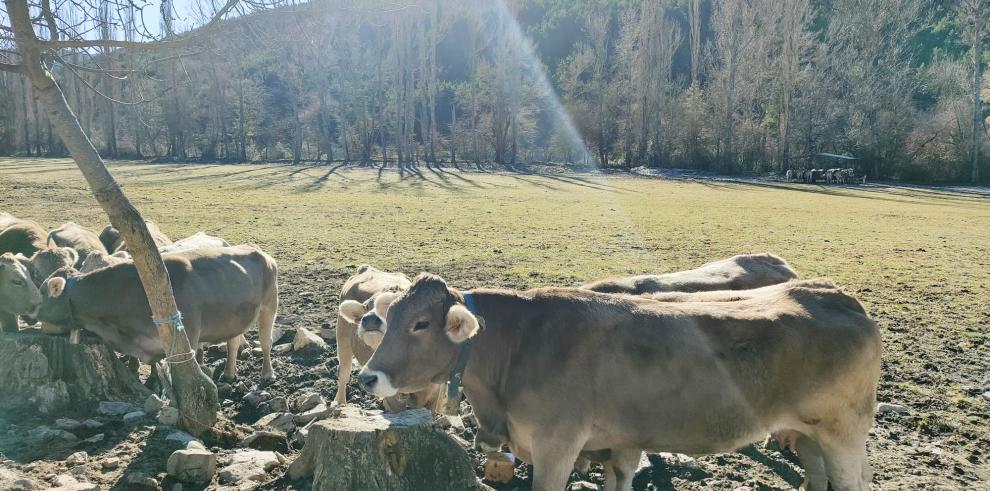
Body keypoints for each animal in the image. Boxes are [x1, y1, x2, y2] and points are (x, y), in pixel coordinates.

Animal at [36, 245, 278, 380]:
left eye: (42, 293)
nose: (33, 317)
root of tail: (262, 253)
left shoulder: (187, 338)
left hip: (269, 306)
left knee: (266, 342)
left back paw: (267, 374)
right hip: (236, 318)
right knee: (233, 342)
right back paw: (229, 373)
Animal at [362, 274, 884, 491]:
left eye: (420, 325)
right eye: (391, 318)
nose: (369, 376)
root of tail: (837, 295)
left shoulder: (557, 444)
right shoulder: (620, 443)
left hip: (844, 434)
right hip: (810, 432)